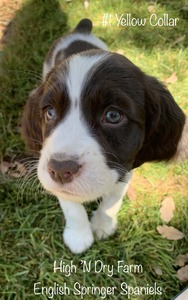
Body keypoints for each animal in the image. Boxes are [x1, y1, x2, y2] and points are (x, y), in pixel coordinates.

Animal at [21, 18, 187, 253]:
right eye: (50, 112)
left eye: (113, 115)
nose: (61, 169)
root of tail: (80, 29)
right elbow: (71, 206)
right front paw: (79, 236)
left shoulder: (125, 166)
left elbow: (113, 200)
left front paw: (103, 224)